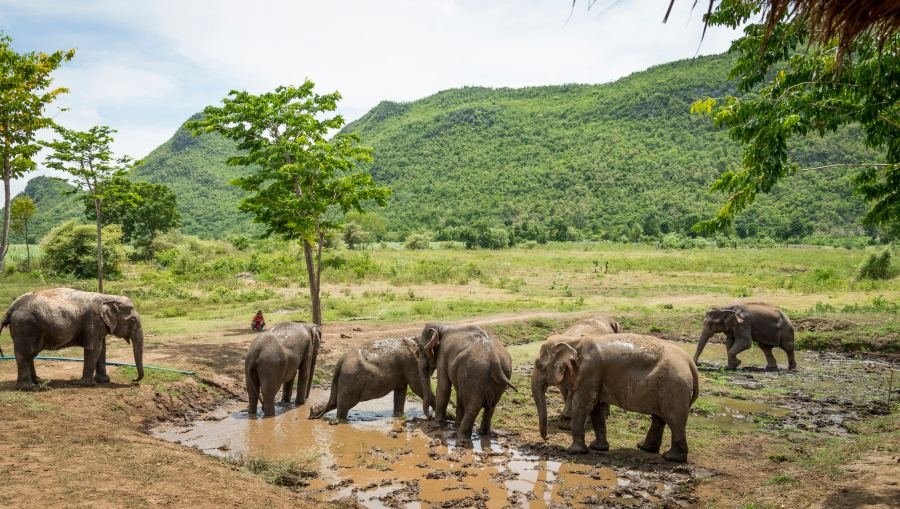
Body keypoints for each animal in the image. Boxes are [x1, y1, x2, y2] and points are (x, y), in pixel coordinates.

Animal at [0, 288, 144, 390]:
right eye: (132, 320)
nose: (134, 380)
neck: (108, 297)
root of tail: (10, 309)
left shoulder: (100, 325)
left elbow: (102, 349)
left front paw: (104, 381)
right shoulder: (93, 321)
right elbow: (94, 349)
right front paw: (86, 384)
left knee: (29, 354)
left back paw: (39, 381)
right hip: (26, 327)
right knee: (25, 354)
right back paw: (28, 388)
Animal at [532, 332, 700, 462]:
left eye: (539, 365)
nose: (546, 439)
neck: (574, 340)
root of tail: (690, 363)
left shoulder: (590, 372)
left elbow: (583, 405)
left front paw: (574, 451)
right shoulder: (595, 377)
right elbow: (596, 408)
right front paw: (597, 448)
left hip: (674, 387)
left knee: (674, 420)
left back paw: (670, 458)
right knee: (659, 418)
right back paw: (645, 448)